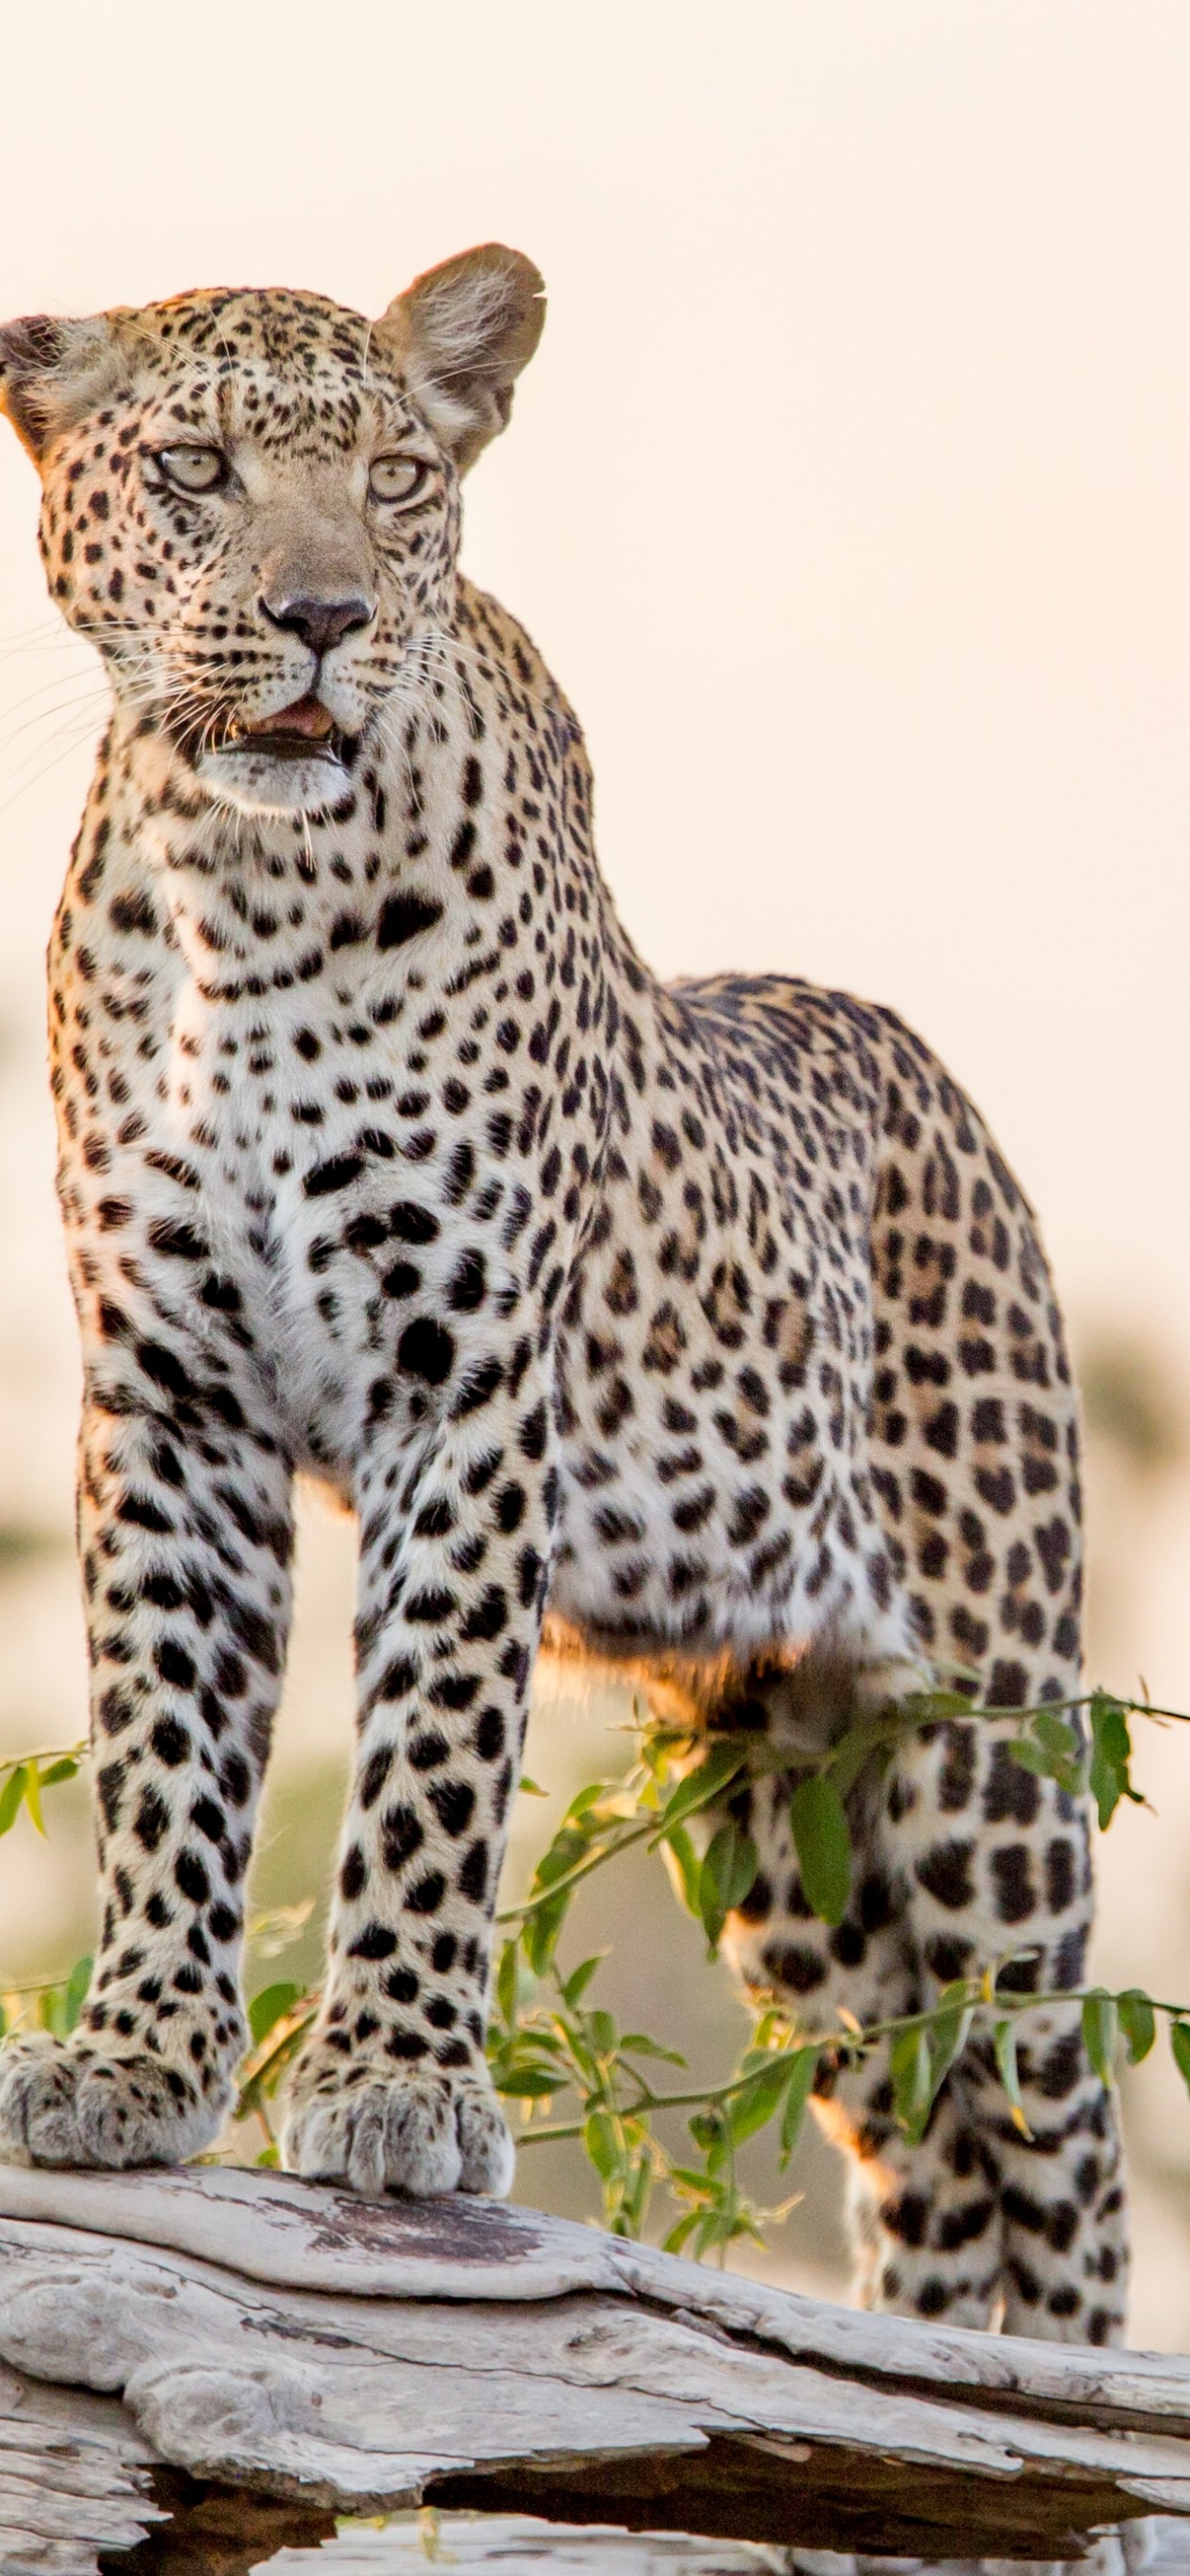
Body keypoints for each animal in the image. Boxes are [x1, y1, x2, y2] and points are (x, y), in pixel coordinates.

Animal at [0, 248, 1131, 2418]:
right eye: (194, 471)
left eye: (395, 481)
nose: (325, 619)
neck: (239, 883)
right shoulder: (167, 1396)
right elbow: (165, 1748)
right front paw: (135, 2060)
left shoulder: (460, 1383)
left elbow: (431, 1756)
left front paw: (392, 2088)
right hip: (789, 1823)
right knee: (923, 2153)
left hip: (988, 1766)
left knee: (1066, 2149)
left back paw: (1073, 2406)